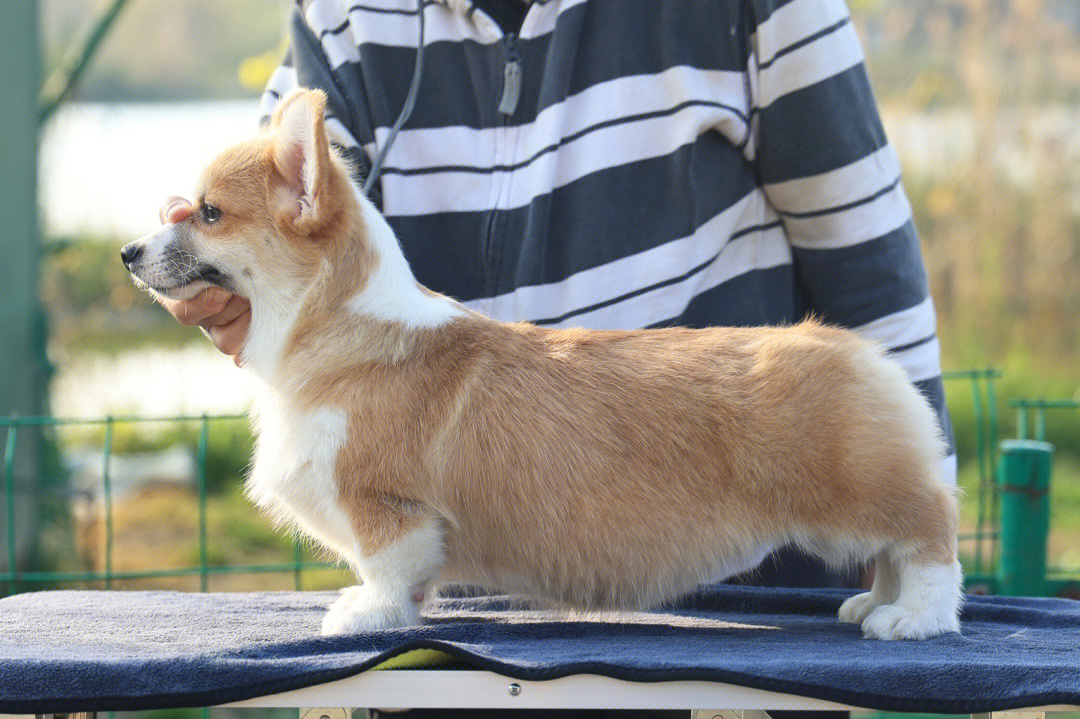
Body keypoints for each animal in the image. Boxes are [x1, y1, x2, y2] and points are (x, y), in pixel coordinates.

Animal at [124, 87, 963, 639]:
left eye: (209, 214)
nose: (128, 251)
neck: (337, 328)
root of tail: (856, 346)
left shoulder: (386, 504)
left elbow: (386, 568)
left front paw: (365, 614)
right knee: (895, 551)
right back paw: (871, 603)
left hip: (863, 492)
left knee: (929, 534)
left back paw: (912, 618)